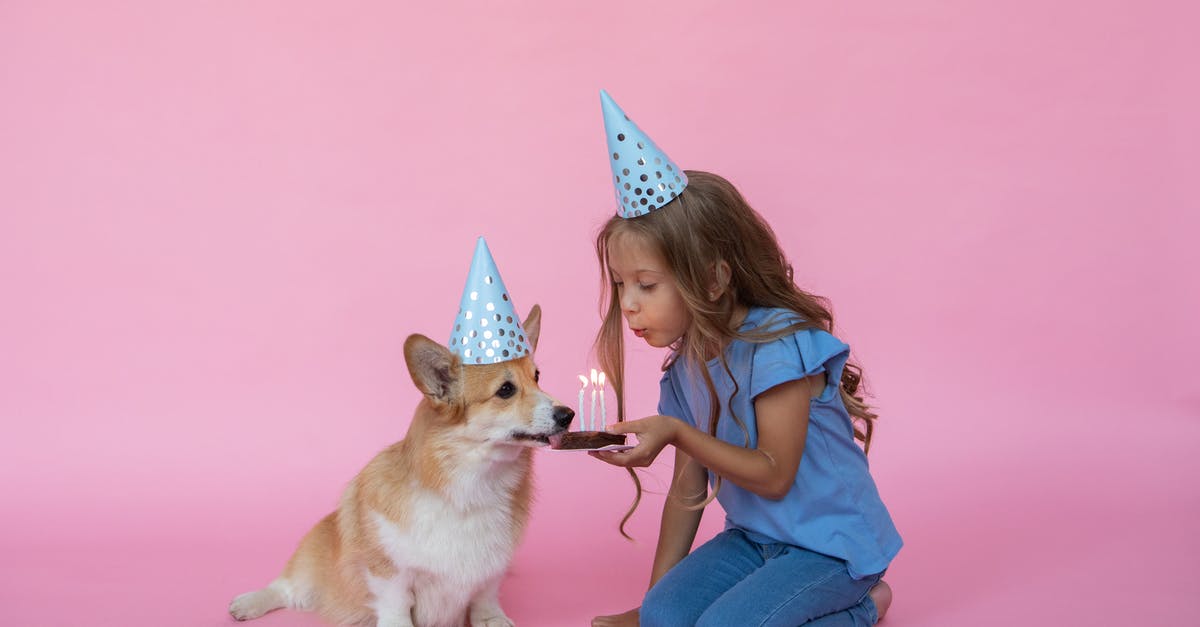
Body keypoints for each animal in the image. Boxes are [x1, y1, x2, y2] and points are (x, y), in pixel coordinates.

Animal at [234, 301, 576, 619]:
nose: (568, 414)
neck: (475, 484)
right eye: (506, 390)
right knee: (285, 588)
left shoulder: (491, 568)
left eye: (537, 377)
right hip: (309, 570)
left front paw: (493, 620)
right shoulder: (388, 575)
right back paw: (248, 603)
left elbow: (486, 598)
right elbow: (396, 609)